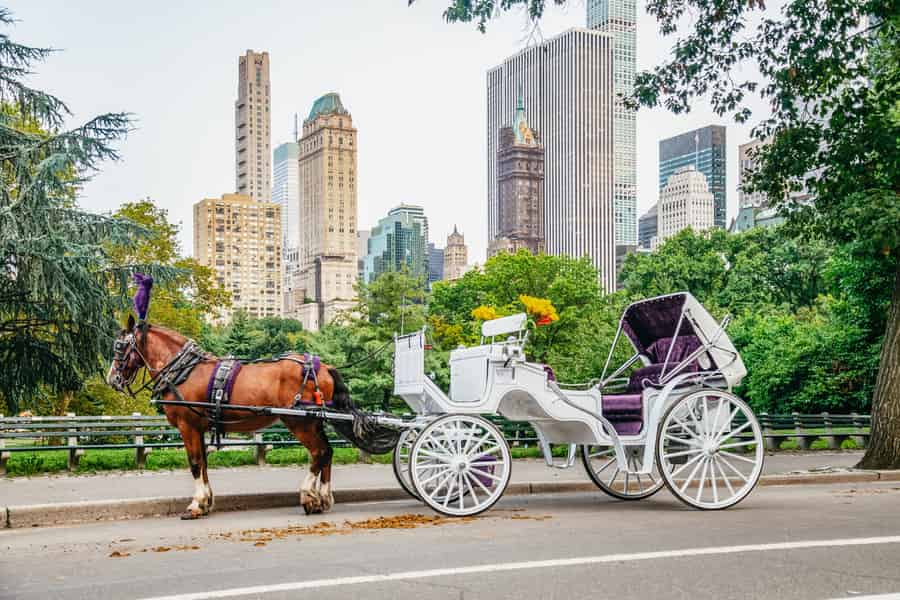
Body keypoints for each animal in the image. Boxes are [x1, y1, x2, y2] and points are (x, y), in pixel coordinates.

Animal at [106, 316, 390, 516]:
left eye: (120, 348)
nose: (112, 380)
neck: (185, 371)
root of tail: (324, 366)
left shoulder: (188, 426)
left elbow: (195, 463)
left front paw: (196, 505)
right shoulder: (200, 427)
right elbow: (204, 463)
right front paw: (207, 502)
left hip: (300, 421)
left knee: (319, 452)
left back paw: (308, 495)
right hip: (312, 420)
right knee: (327, 453)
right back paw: (323, 498)